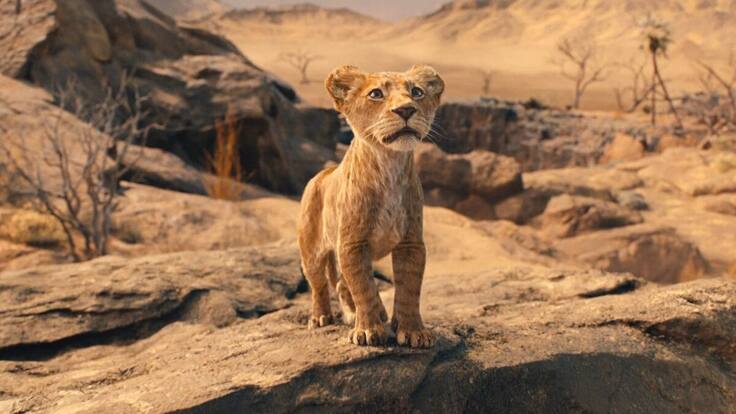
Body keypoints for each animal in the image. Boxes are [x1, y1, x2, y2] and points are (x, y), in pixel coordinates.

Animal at [297, 64, 445, 348]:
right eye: (376, 94)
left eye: (416, 92)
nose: (406, 110)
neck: (389, 166)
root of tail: (323, 173)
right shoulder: (352, 244)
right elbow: (363, 287)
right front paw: (367, 331)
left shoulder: (411, 243)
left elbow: (409, 288)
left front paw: (413, 331)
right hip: (311, 251)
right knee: (320, 285)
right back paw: (321, 317)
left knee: (342, 284)